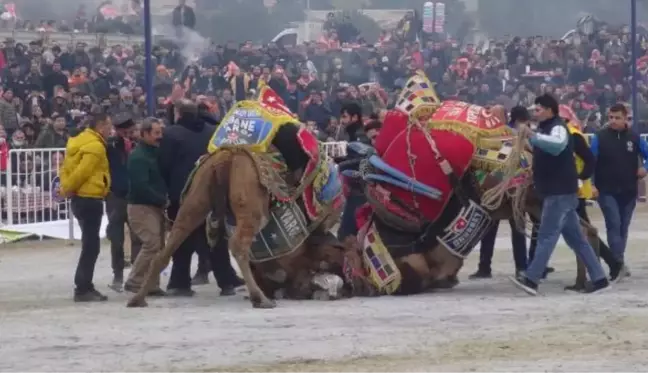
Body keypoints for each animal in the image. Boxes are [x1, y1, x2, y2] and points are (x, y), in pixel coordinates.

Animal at [126, 148, 372, 308]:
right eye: (355, 256)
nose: (363, 284)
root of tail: (226, 158)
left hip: (196, 197)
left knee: (169, 245)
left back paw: (138, 298)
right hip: (250, 205)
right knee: (238, 246)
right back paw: (260, 299)